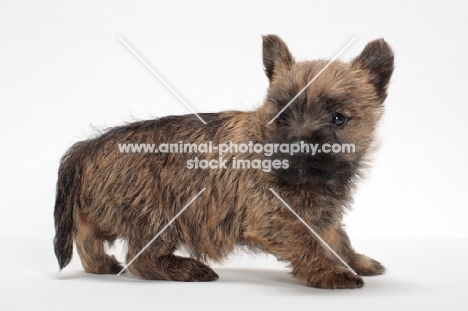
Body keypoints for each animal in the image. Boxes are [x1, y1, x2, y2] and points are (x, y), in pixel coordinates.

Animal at [53, 34, 394, 290]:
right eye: (282, 117)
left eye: (338, 118)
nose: (297, 145)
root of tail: (89, 146)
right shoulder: (274, 216)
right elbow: (307, 243)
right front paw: (331, 272)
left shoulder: (323, 214)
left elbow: (337, 237)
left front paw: (356, 261)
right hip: (158, 214)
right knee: (140, 257)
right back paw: (187, 269)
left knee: (86, 233)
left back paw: (100, 264)